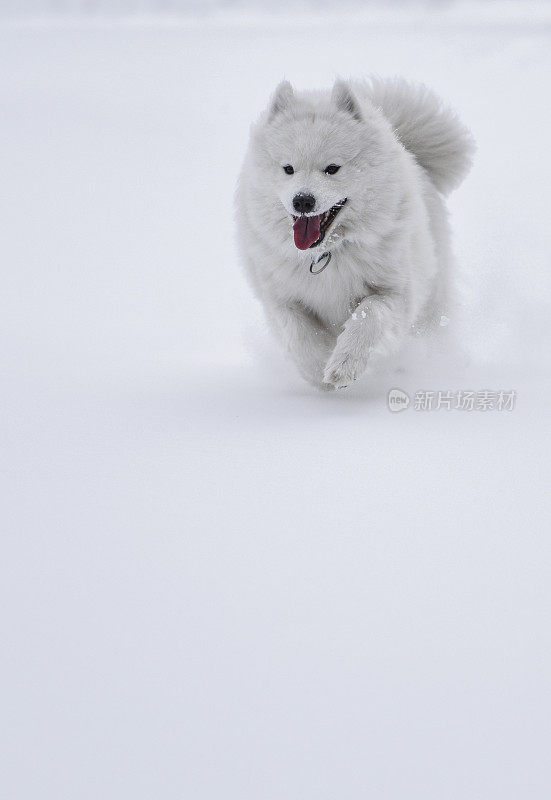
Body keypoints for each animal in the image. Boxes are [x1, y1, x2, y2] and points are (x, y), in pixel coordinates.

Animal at [236, 76, 474, 390]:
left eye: (332, 168)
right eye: (288, 169)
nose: (302, 201)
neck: (326, 254)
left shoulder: (394, 292)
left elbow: (368, 315)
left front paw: (343, 367)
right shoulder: (282, 298)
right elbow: (298, 333)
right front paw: (318, 370)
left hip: (432, 299)